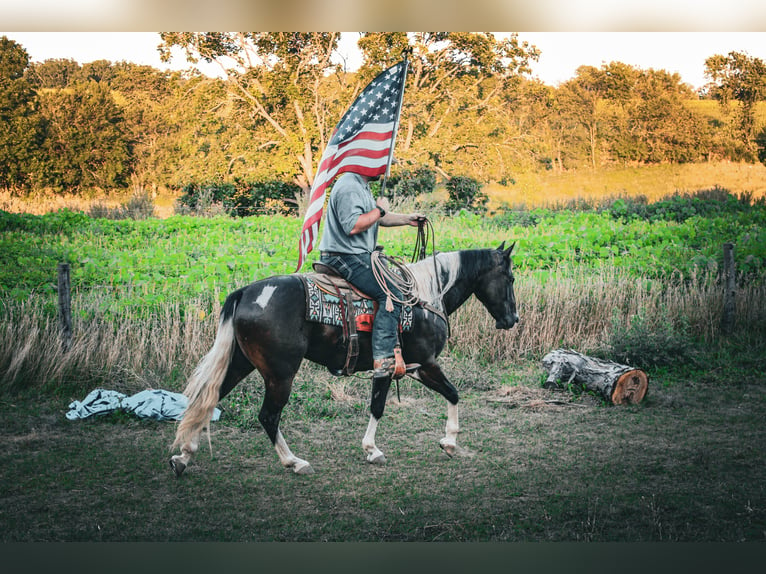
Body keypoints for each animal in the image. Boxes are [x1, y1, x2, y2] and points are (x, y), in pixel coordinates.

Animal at [170, 242, 520, 476]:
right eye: (510, 278)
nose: (513, 319)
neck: (423, 297)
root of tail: (244, 292)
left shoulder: (400, 367)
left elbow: (392, 402)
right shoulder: (423, 363)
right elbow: (446, 393)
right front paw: (440, 442)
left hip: (241, 363)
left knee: (208, 400)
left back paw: (184, 457)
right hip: (280, 373)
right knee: (268, 416)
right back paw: (294, 462)